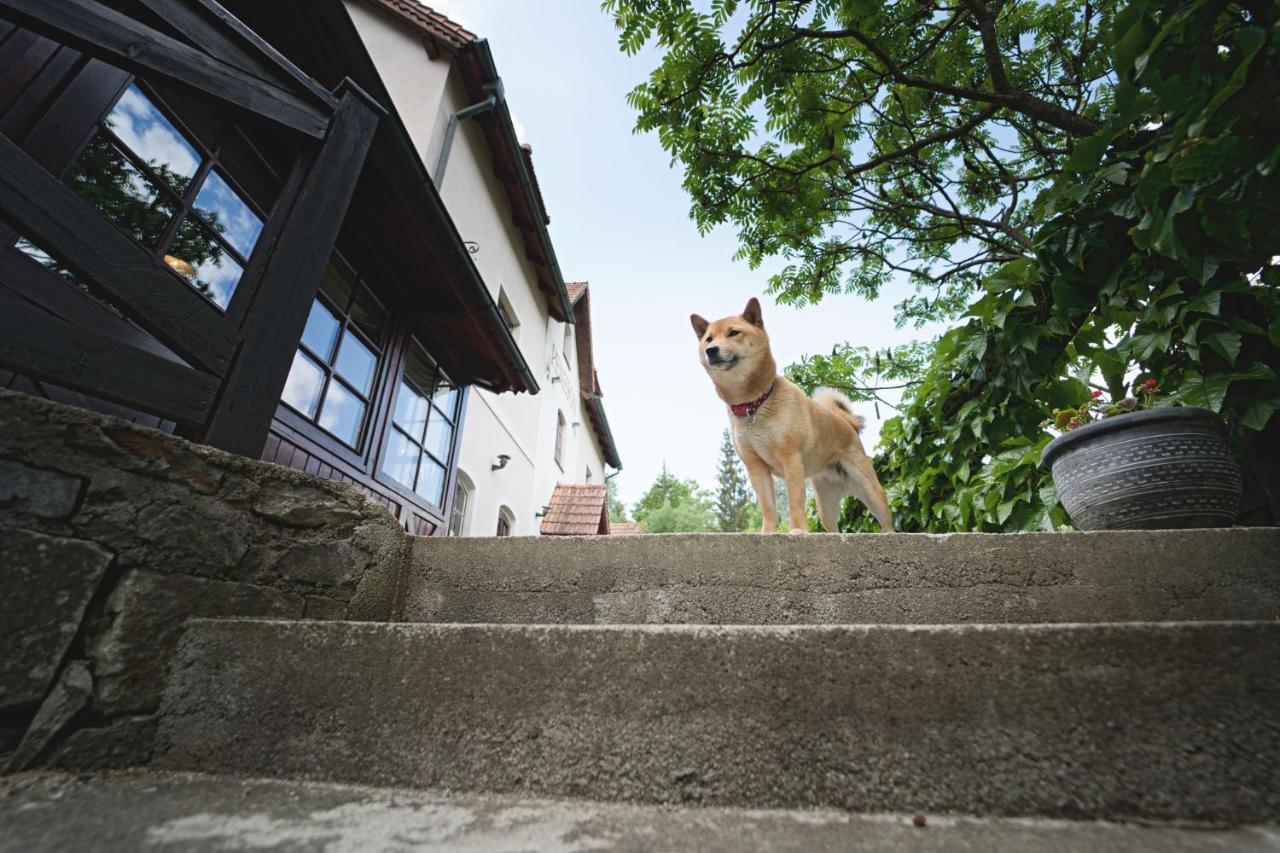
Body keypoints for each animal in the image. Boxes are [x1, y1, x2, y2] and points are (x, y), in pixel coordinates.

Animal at [696, 295, 896, 527]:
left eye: (733, 332)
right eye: (709, 339)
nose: (711, 350)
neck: (755, 403)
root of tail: (848, 423)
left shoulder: (790, 459)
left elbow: (795, 503)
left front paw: (798, 529)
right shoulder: (756, 467)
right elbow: (767, 508)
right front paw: (768, 532)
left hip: (872, 492)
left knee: (888, 525)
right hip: (825, 507)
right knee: (834, 528)